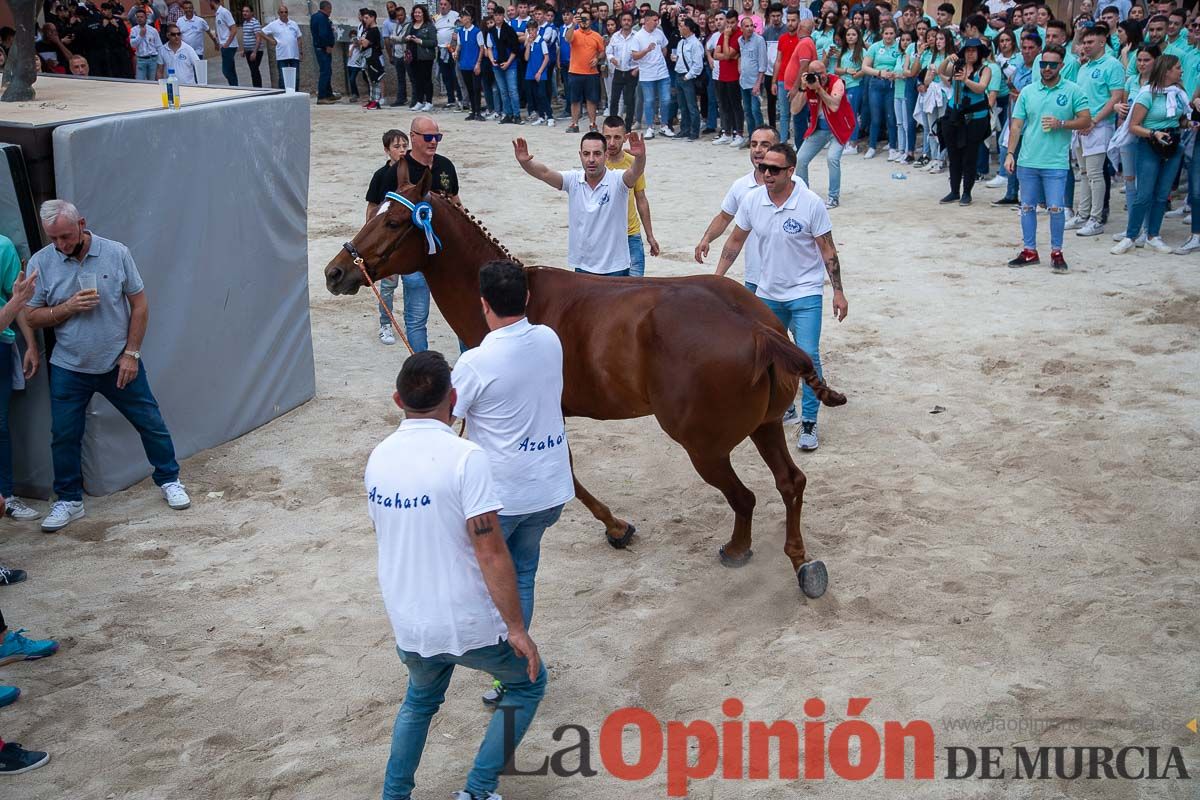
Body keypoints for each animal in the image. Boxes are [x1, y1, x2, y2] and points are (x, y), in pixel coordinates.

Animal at [319, 176, 844, 599]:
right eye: (374, 214)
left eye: (393, 224)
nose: (335, 272)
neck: (514, 302)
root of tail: (758, 329)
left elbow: (565, 476)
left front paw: (617, 527)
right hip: (766, 425)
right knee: (790, 482)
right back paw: (800, 560)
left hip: (704, 446)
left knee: (745, 497)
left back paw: (738, 549)